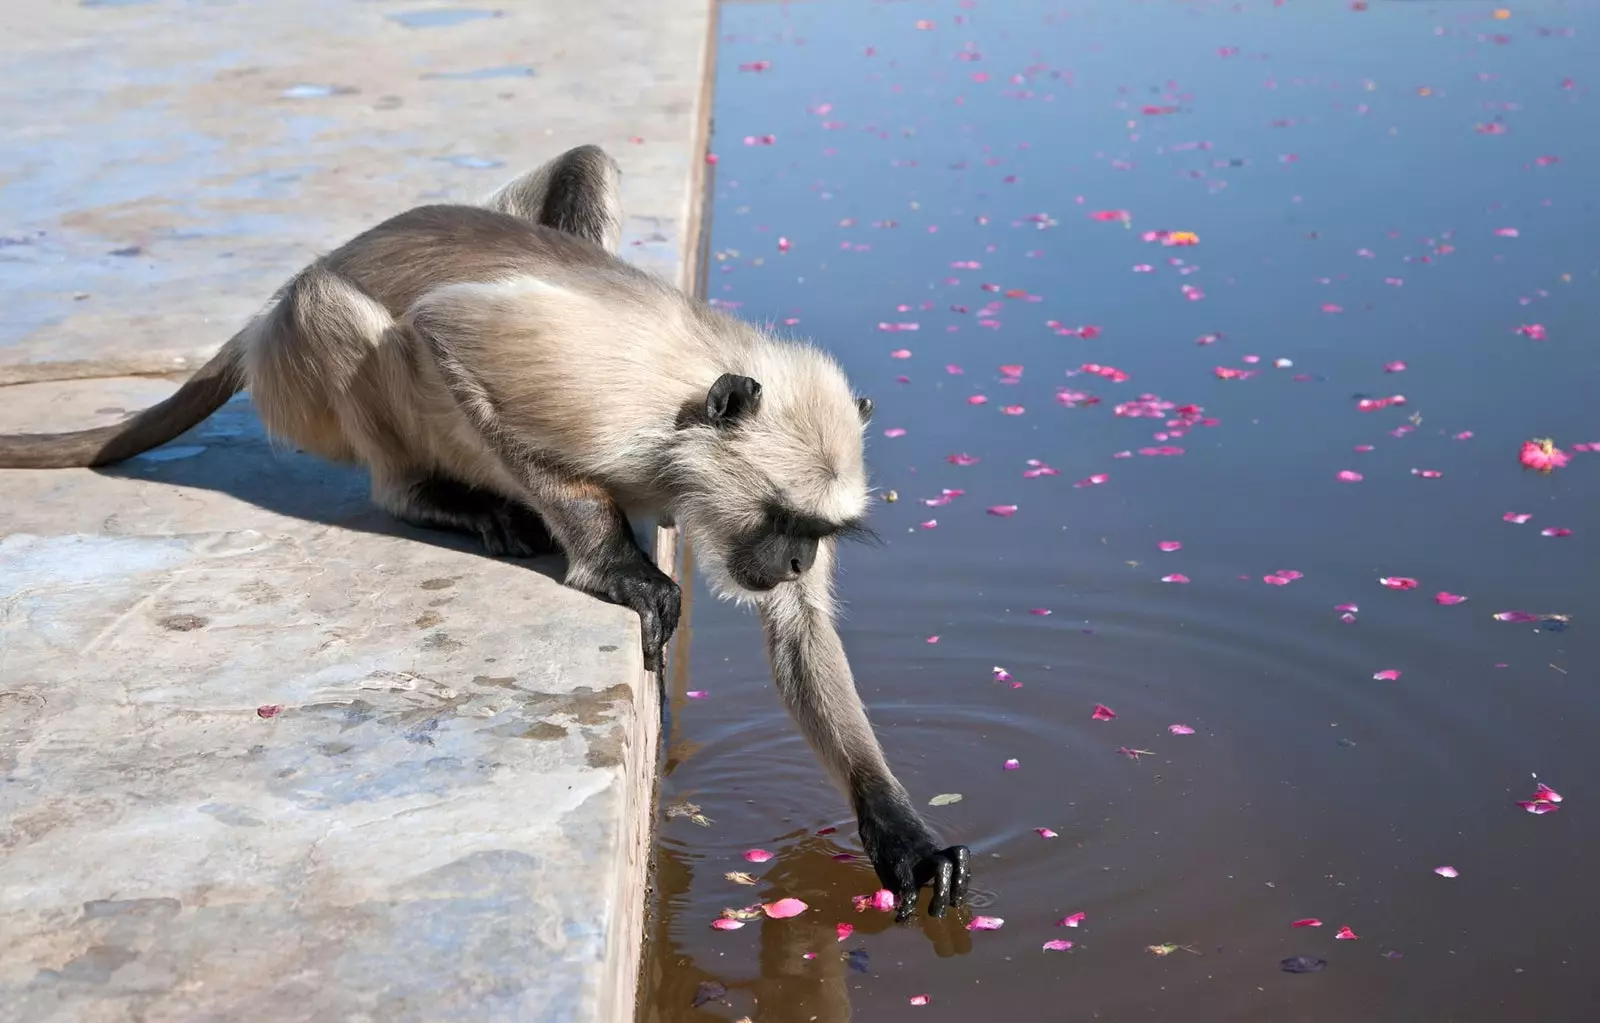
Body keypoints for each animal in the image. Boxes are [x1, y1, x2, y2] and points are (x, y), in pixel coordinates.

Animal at [0, 144, 972, 922]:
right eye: (786, 523)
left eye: (818, 531)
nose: (802, 555)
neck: (693, 396)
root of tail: (254, 330)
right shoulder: (597, 393)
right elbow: (449, 332)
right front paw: (614, 562)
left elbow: (798, 629)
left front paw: (900, 832)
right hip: (305, 359)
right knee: (362, 325)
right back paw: (438, 497)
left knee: (587, 160)